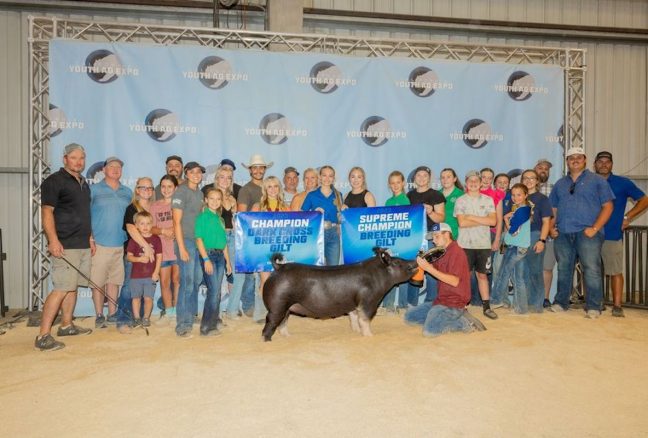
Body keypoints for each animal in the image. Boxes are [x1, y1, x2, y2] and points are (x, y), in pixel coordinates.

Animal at [260, 248, 418, 340]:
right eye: (397, 262)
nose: (415, 261)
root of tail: (278, 267)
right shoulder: (369, 301)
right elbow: (365, 319)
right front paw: (370, 336)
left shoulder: (354, 303)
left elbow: (354, 317)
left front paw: (356, 331)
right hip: (277, 305)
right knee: (270, 324)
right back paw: (267, 341)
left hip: (286, 306)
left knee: (283, 322)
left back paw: (289, 337)